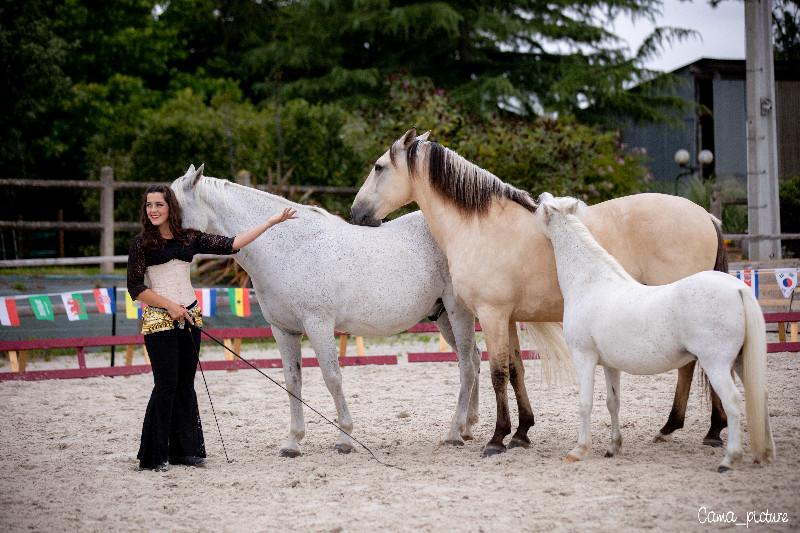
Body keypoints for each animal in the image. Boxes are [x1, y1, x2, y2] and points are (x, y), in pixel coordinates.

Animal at [172, 164, 482, 456]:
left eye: (171, 208)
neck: (289, 247)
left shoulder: (318, 325)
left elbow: (332, 377)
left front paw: (345, 438)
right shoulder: (283, 330)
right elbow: (292, 381)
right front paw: (292, 442)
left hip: (458, 311)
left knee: (467, 365)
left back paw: (454, 433)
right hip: (442, 316)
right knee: (475, 359)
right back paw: (467, 427)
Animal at [536, 194, 776, 470]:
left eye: (543, 209)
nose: (540, 197)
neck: (592, 283)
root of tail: (739, 289)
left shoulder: (583, 357)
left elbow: (585, 403)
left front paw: (578, 450)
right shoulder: (610, 365)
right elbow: (613, 403)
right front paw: (613, 447)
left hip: (716, 363)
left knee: (733, 401)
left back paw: (729, 458)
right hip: (740, 360)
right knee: (760, 395)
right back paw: (766, 454)